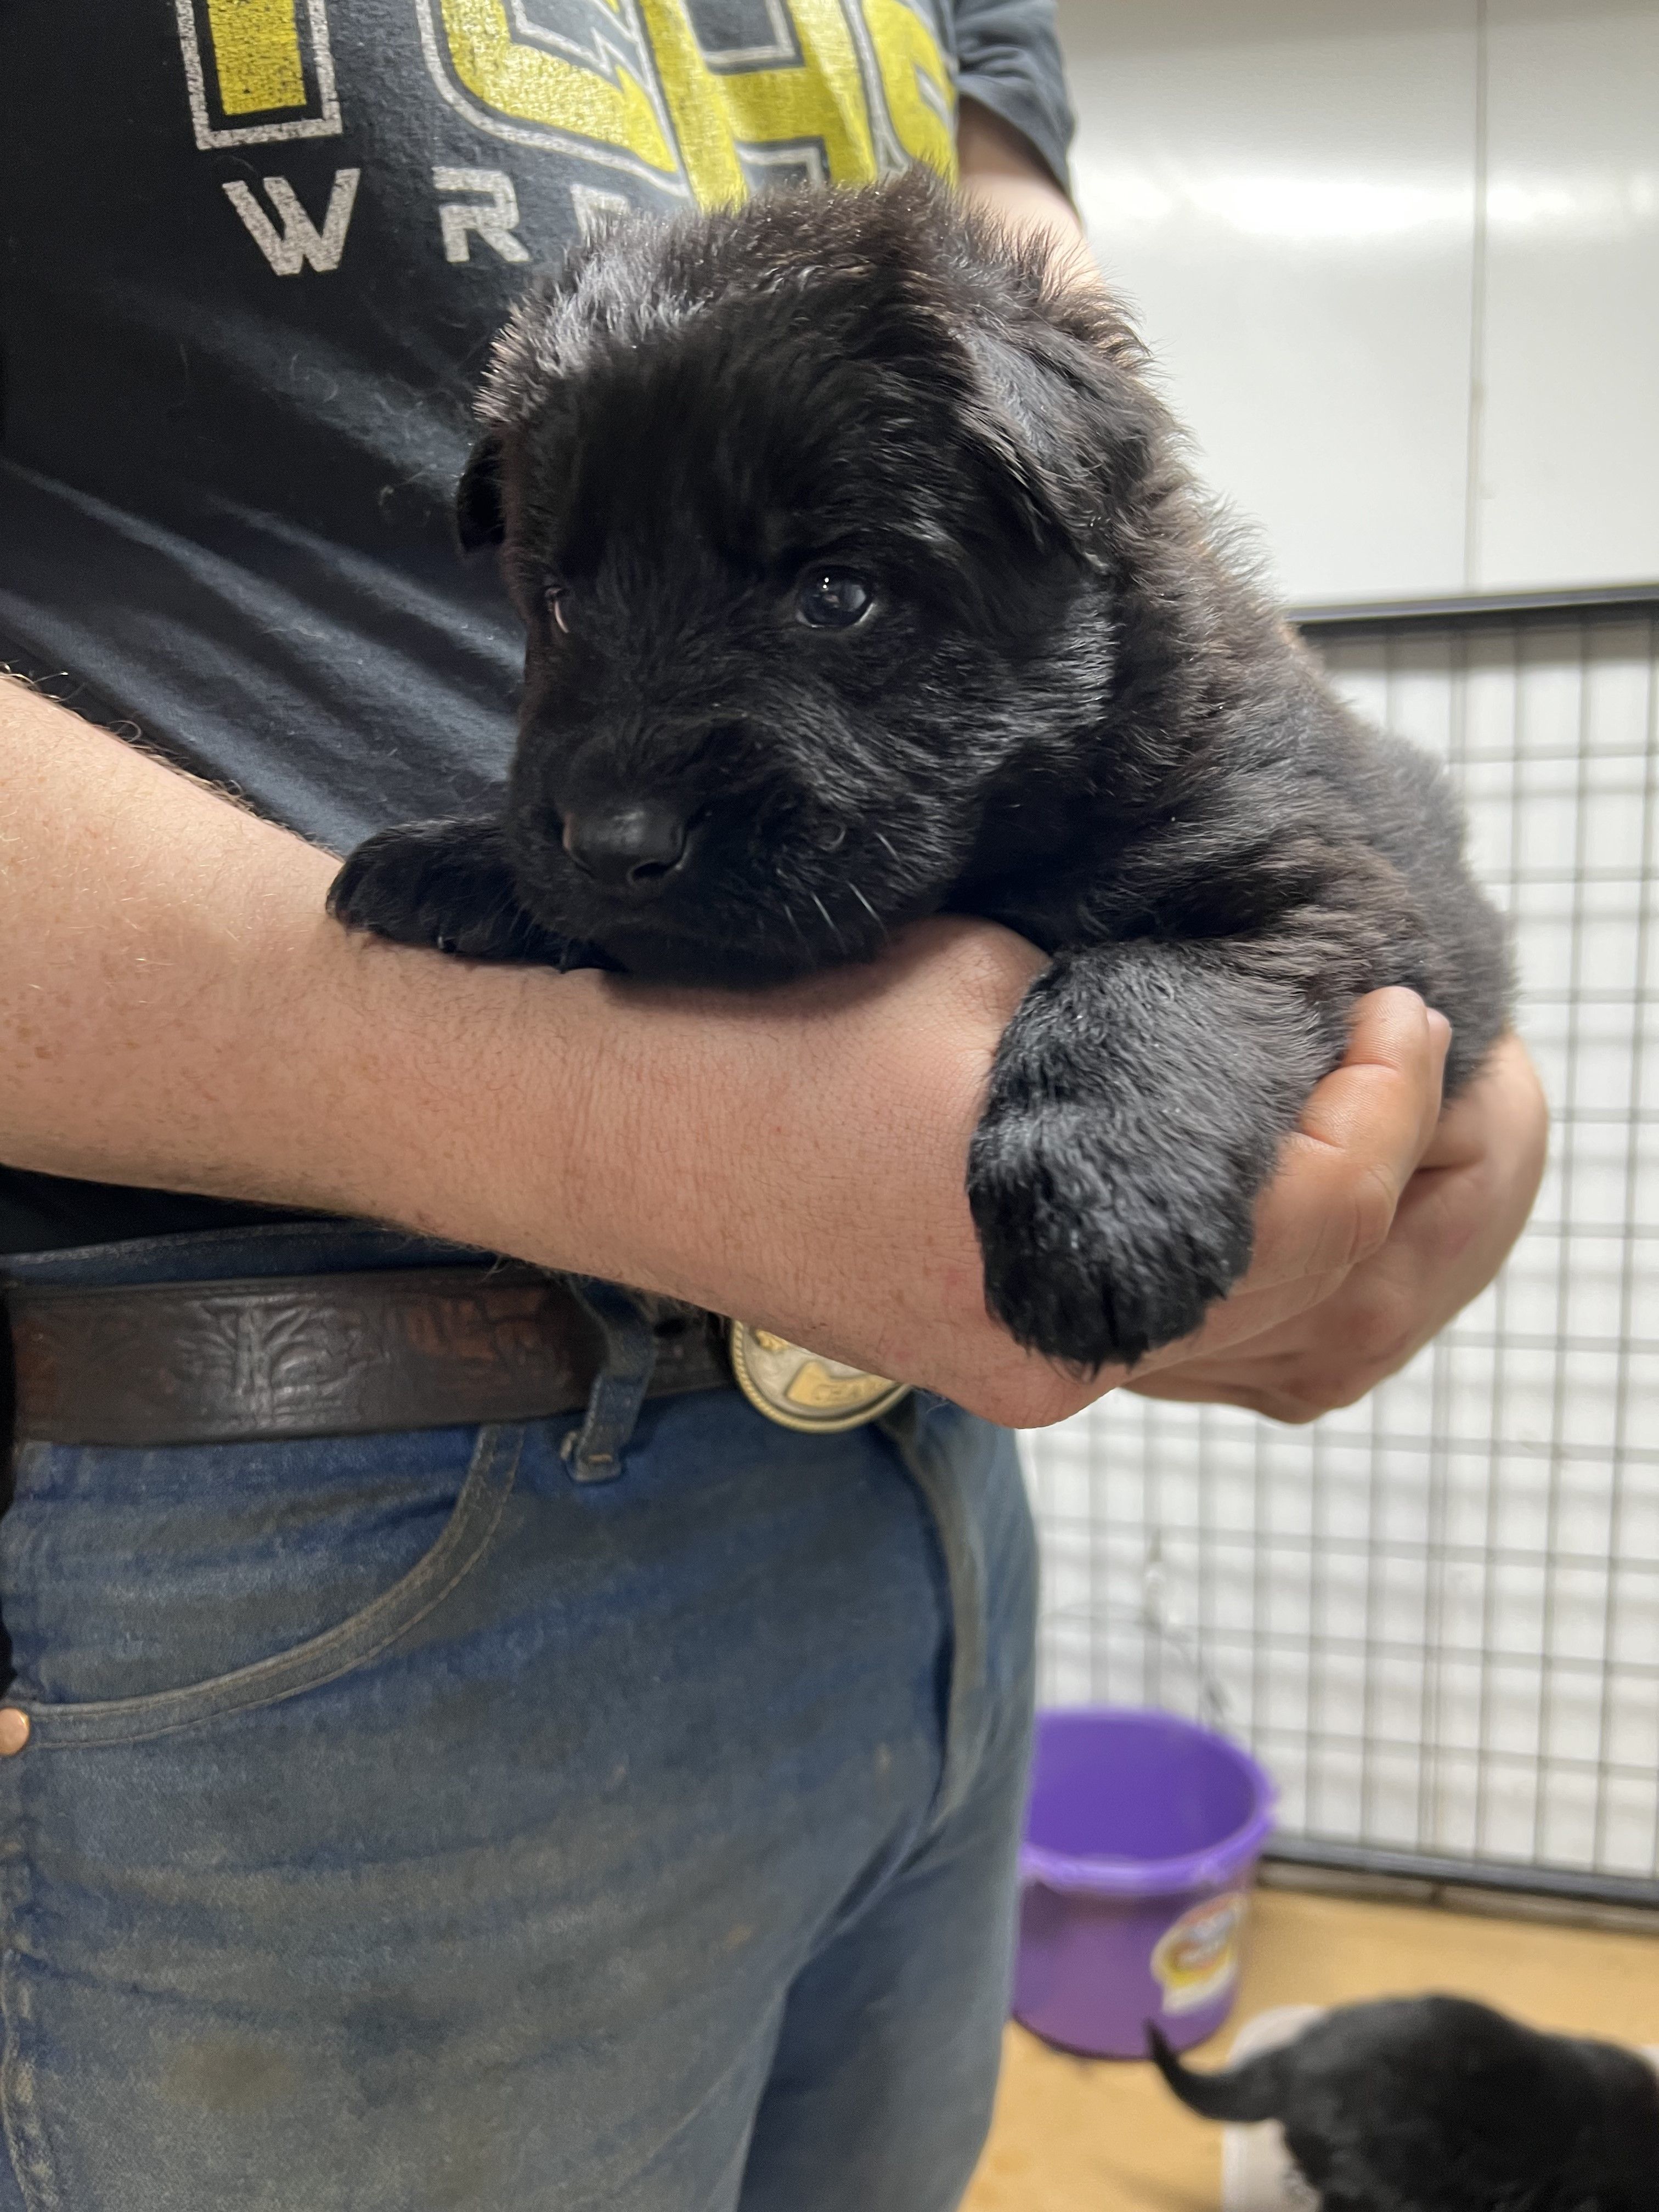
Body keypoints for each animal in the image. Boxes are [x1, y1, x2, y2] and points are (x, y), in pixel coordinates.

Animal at [330, 171, 1512, 1368]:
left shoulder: (1320, 892)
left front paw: (1095, 1203)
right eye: (562, 604)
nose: (616, 847)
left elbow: (1140, 983)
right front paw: (457, 859)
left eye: (837, 593)